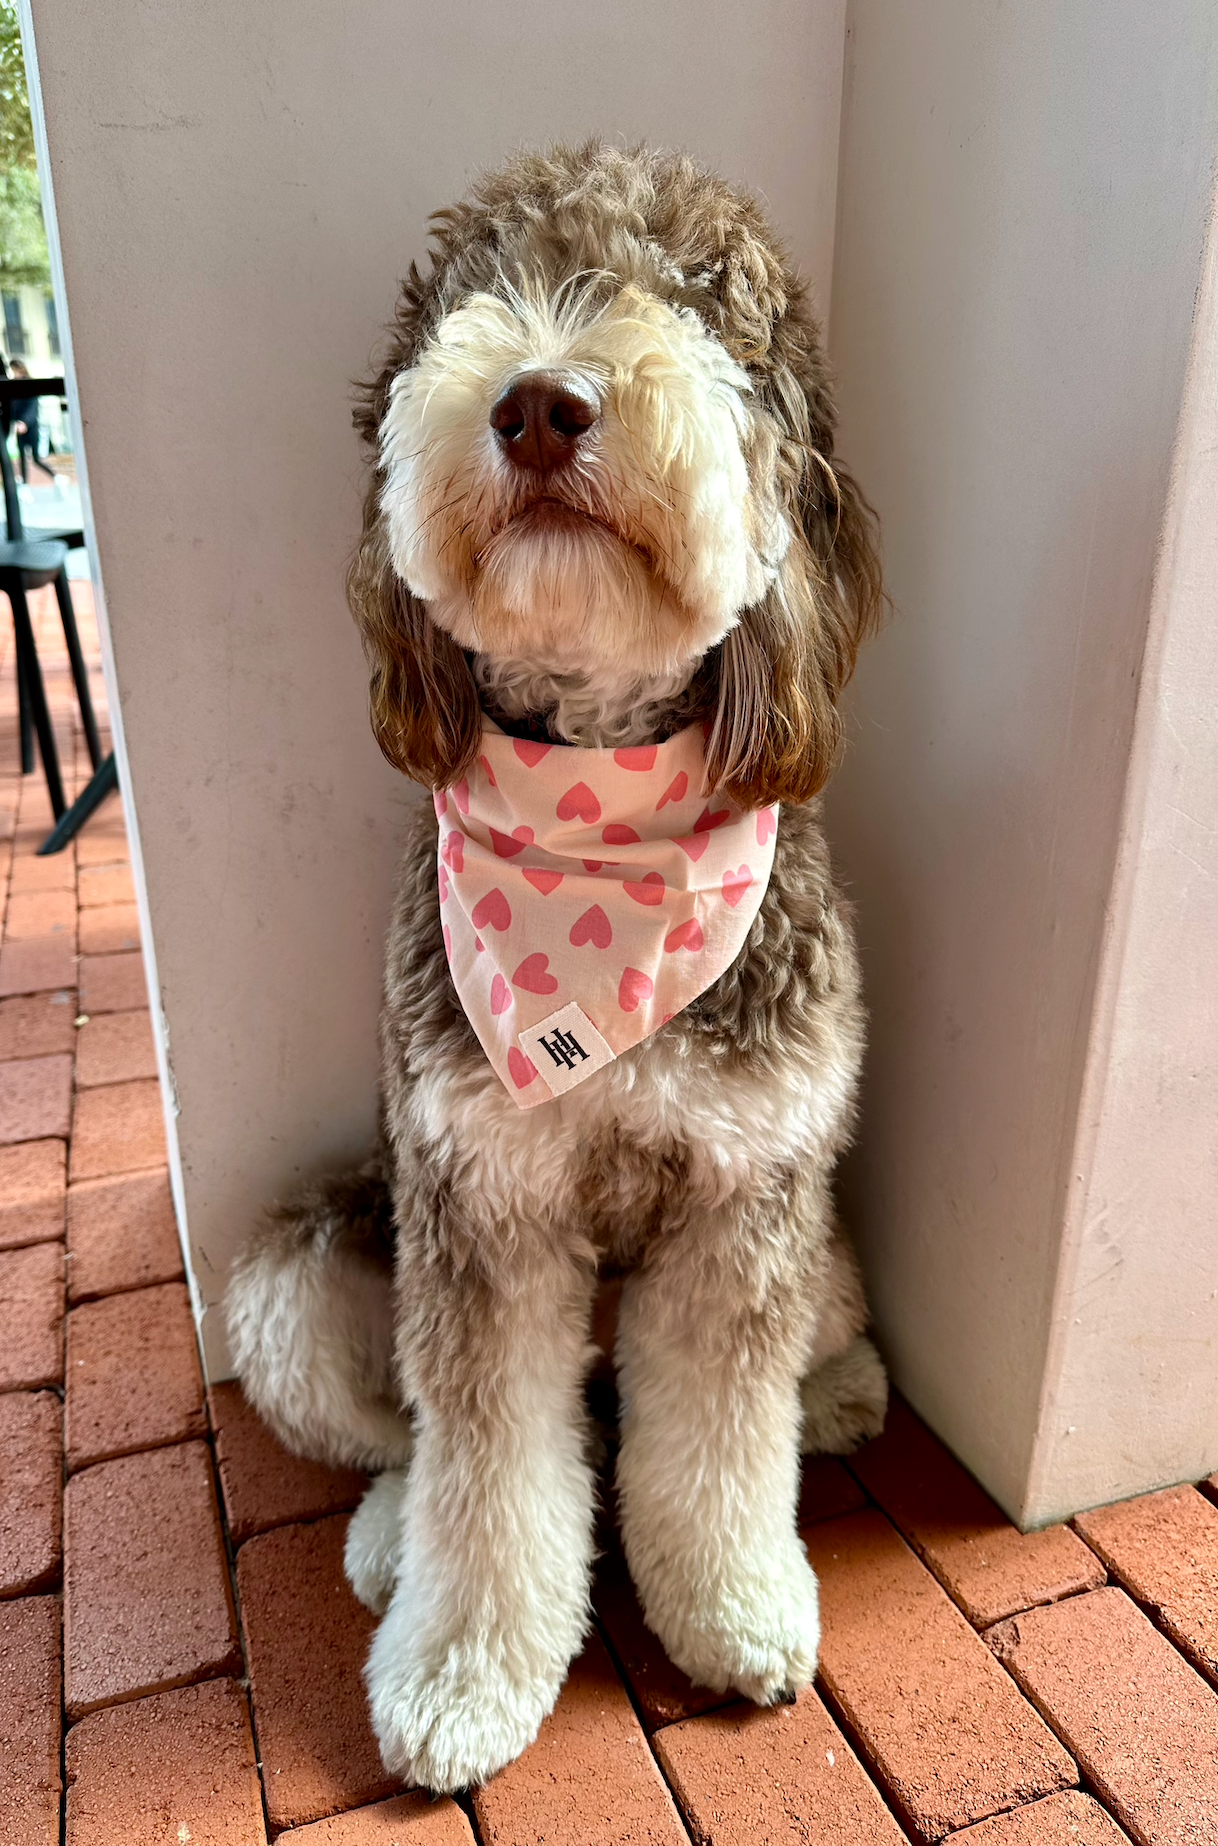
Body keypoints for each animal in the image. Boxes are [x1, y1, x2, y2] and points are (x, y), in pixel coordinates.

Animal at [225, 140, 887, 1794]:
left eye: (693, 297)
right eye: (479, 290)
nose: (539, 401)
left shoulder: (746, 1190)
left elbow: (720, 1432)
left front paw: (734, 1605)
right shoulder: (478, 1201)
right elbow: (484, 1467)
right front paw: (462, 1673)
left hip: (823, 1231)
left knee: (787, 1355)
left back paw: (842, 1393)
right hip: (297, 1284)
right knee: (409, 1431)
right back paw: (387, 1533)